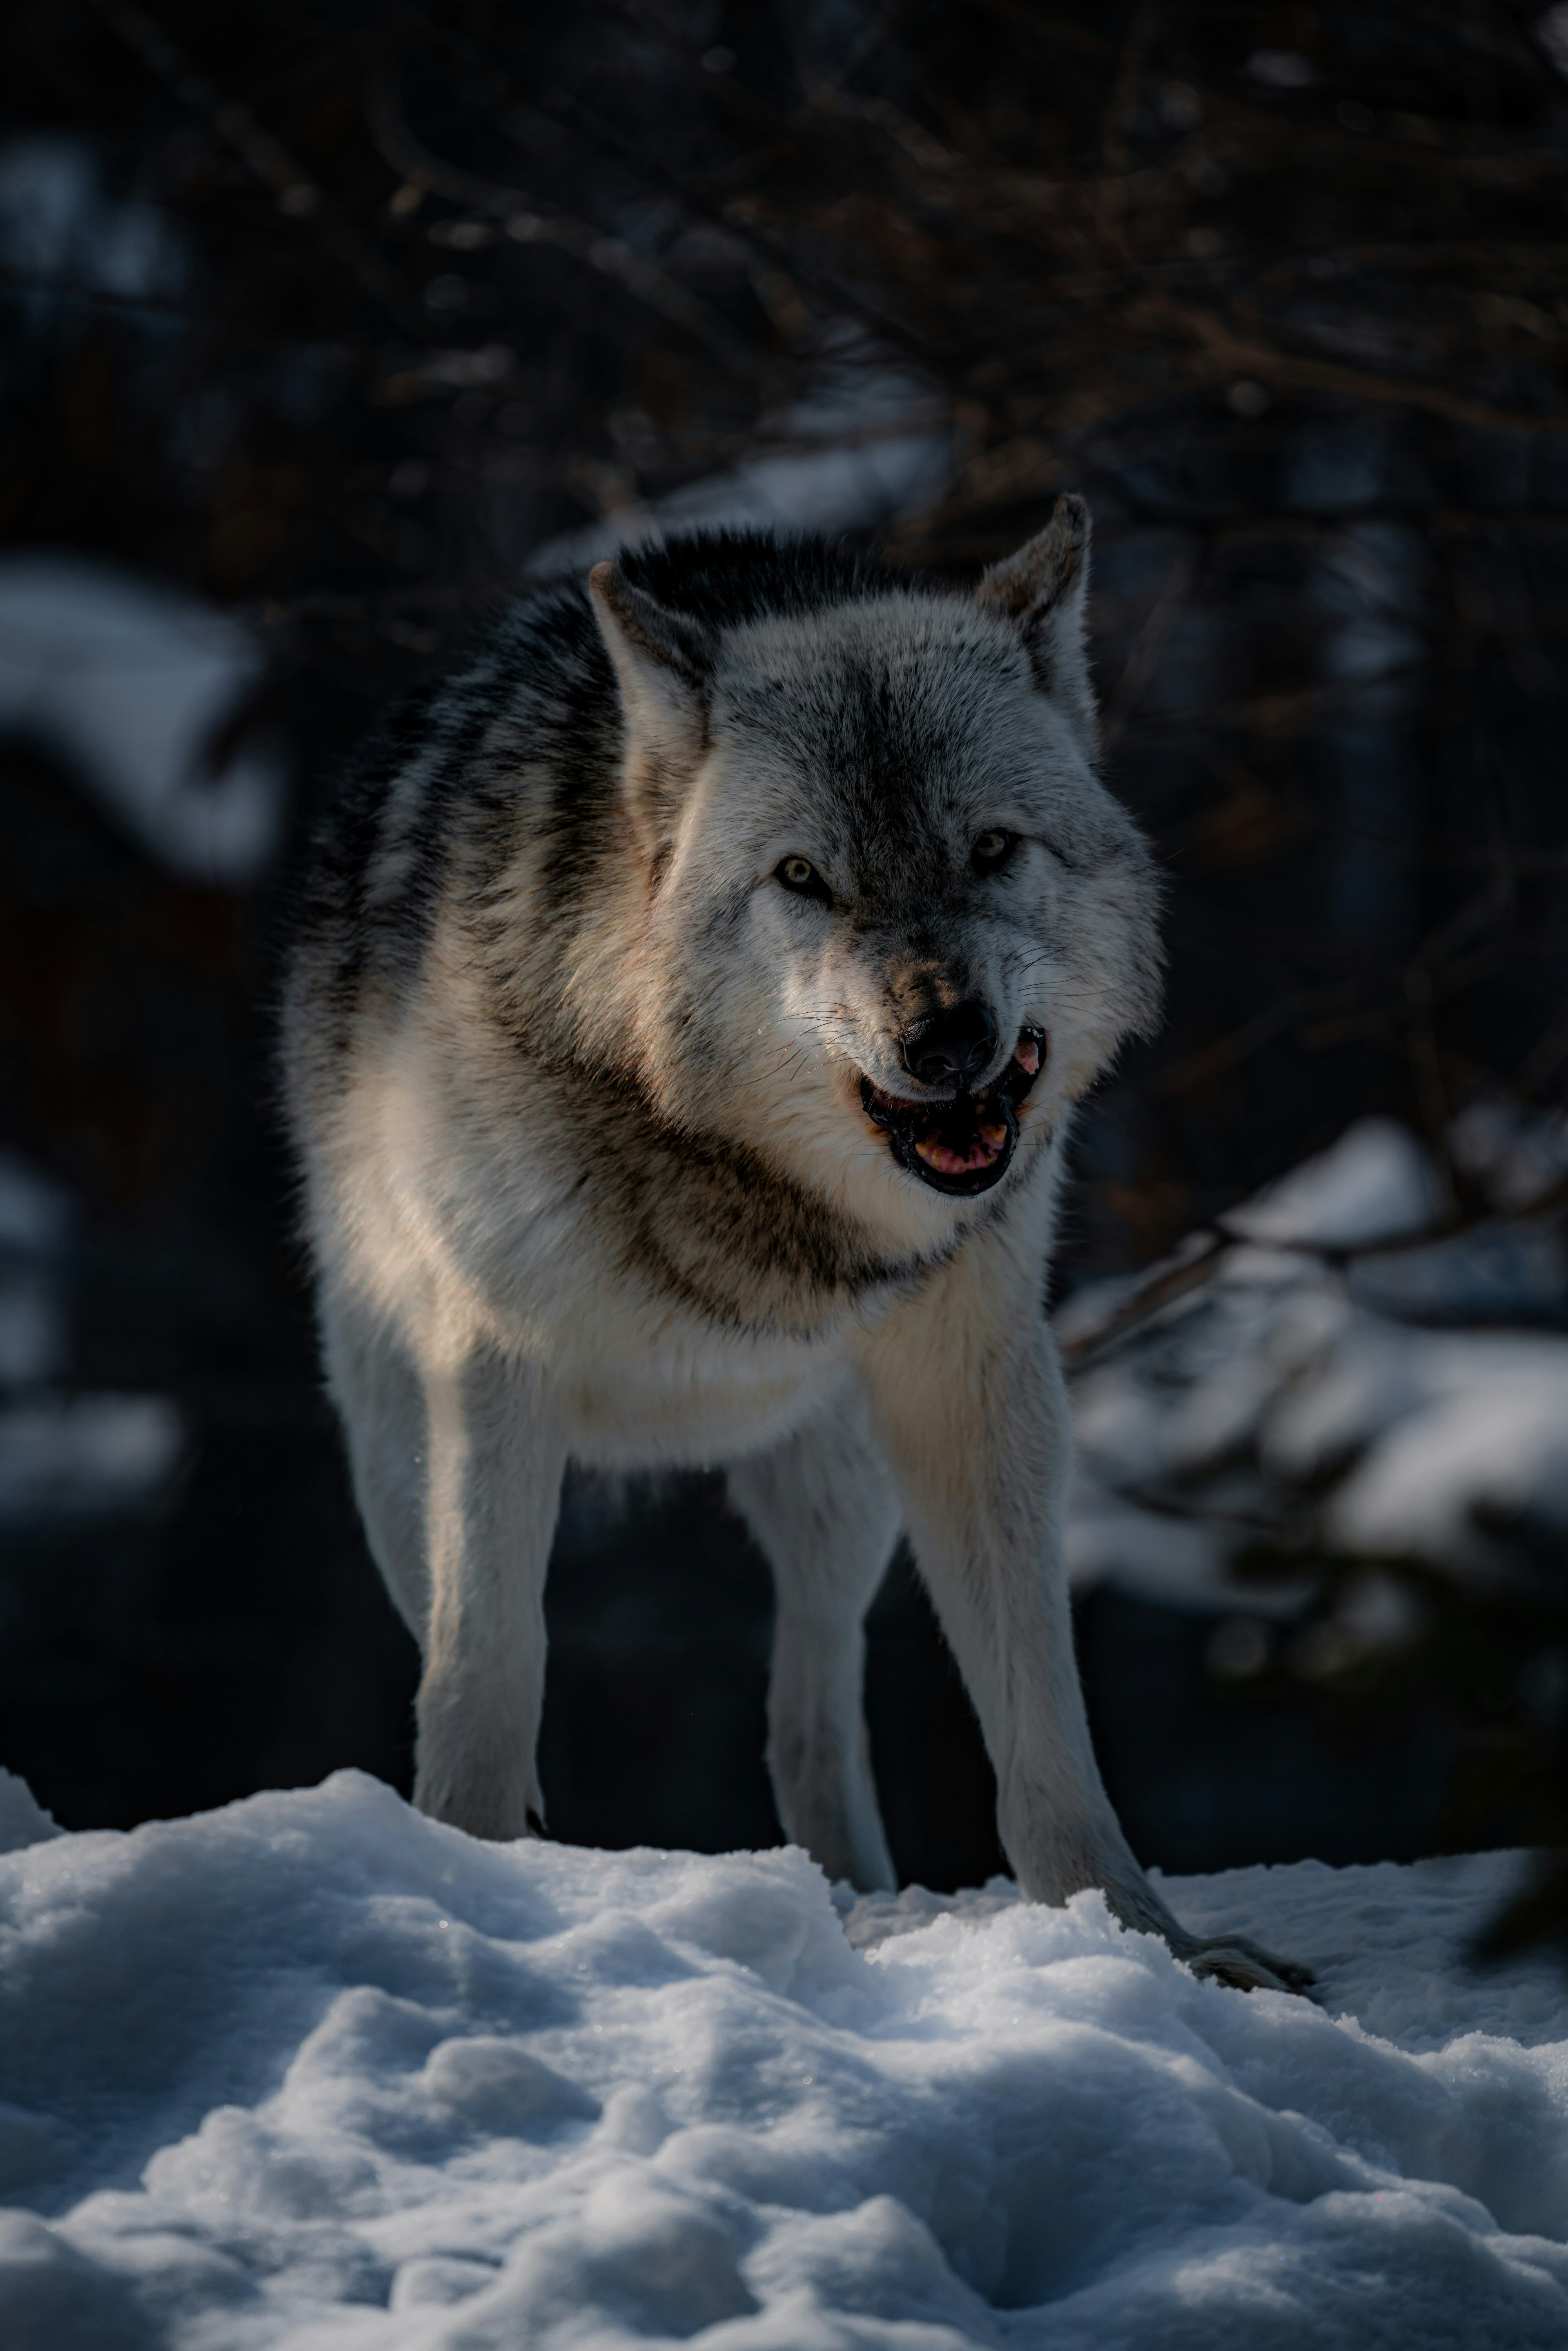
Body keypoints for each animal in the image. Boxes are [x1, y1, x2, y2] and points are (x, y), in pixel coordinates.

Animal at [278, 505, 1316, 1993]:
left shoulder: (977, 1378)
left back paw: (849, 1900)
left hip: (841, 1487)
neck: (723, 1168)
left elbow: (1043, 1725)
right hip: (388, 1447)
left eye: (992, 848)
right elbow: (487, 1673)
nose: (946, 1037)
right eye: (803, 879)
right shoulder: (493, 1367)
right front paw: (471, 1896)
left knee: (807, 1707)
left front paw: (1148, 1946)